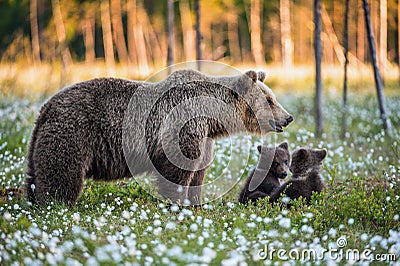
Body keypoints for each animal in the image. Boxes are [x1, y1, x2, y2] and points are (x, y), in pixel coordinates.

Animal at [24, 68, 294, 206]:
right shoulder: (182, 125)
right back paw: (57, 204)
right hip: (75, 131)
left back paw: (34, 200)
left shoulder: (204, 136)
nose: (288, 117)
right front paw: (177, 203)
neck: (212, 117)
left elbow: (199, 171)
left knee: (36, 172)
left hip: (41, 139)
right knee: (62, 172)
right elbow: (176, 169)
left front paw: (195, 202)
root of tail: (47, 105)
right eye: (269, 100)